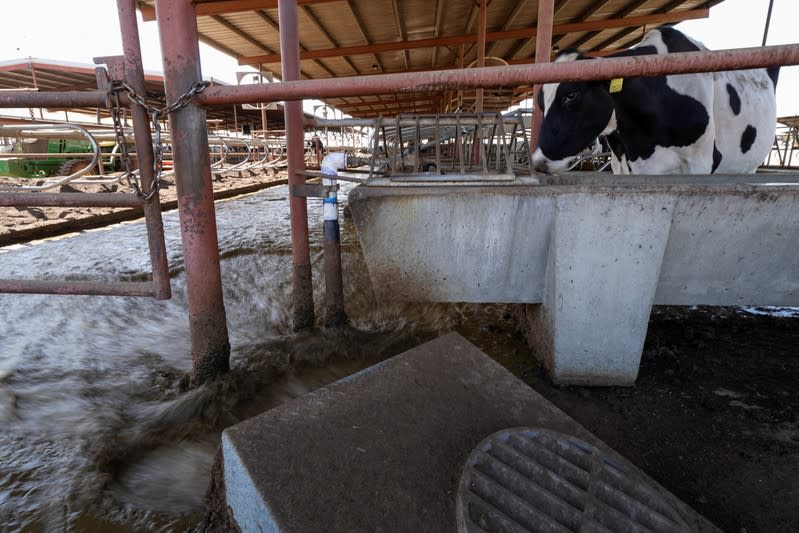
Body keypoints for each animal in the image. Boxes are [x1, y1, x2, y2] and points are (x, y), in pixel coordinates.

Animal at [536, 28, 780, 174]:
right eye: (540, 103)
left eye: (571, 95)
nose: (538, 162)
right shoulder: (631, 163)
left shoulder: (701, 162)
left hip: (748, 164)